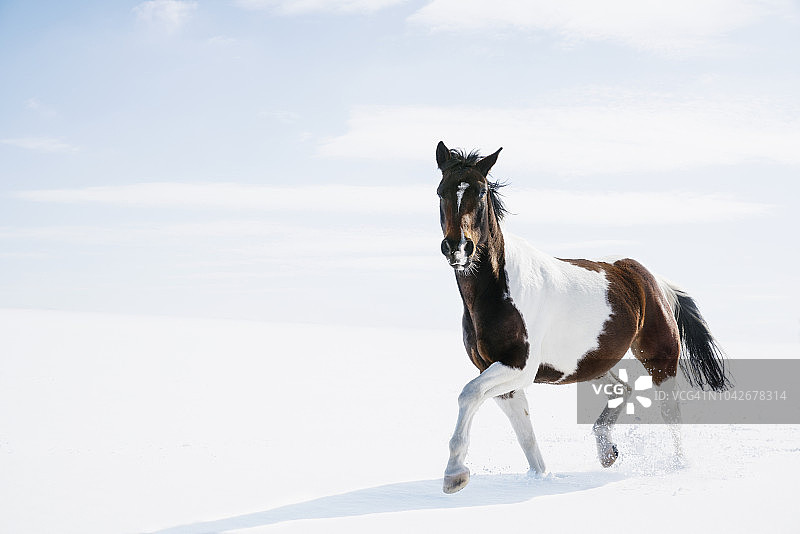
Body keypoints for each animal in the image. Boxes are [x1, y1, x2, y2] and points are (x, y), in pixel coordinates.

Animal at [435, 141, 731, 494]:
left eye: (480, 192)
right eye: (441, 191)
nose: (458, 247)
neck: (496, 293)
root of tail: (650, 279)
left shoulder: (517, 368)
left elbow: (468, 394)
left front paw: (455, 474)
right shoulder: (498, 373)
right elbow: (525, 435)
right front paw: (540, 477)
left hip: (659, 358)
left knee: (670, 413)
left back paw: (676, 467)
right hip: (590, 363)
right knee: (621, 388)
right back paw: (607, 452)